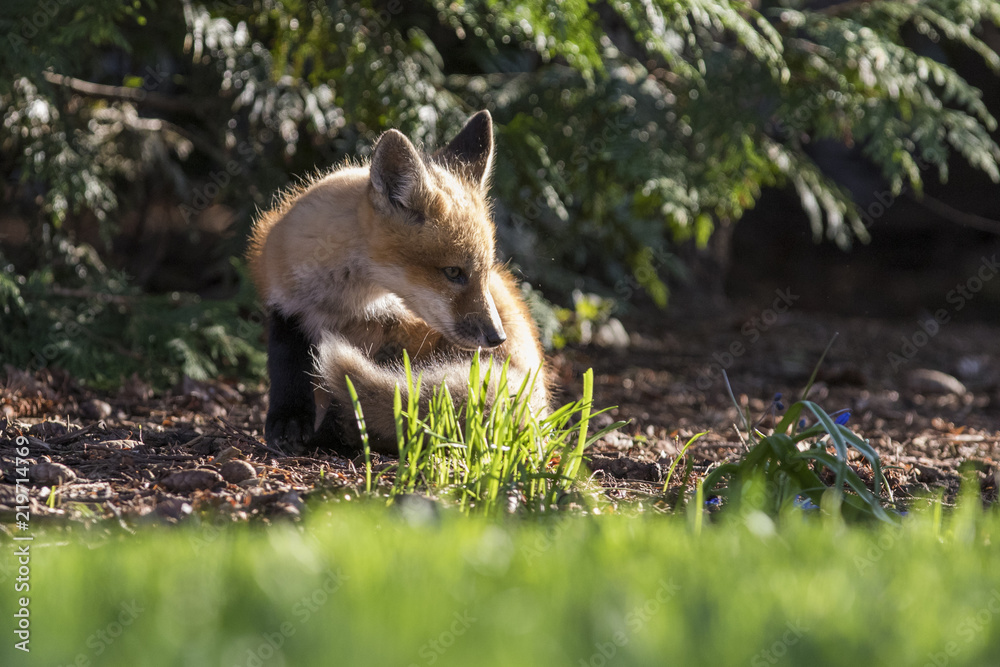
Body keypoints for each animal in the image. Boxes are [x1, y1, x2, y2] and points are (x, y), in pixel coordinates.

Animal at [247, 110, 548, 453]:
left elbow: (364, 395)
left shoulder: (407, 336)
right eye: (454, 272)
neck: (342, 302)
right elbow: (286, 367)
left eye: (483, 272)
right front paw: (289, 421)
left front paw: (336, 431)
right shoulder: (286, 308)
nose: (497, 336)